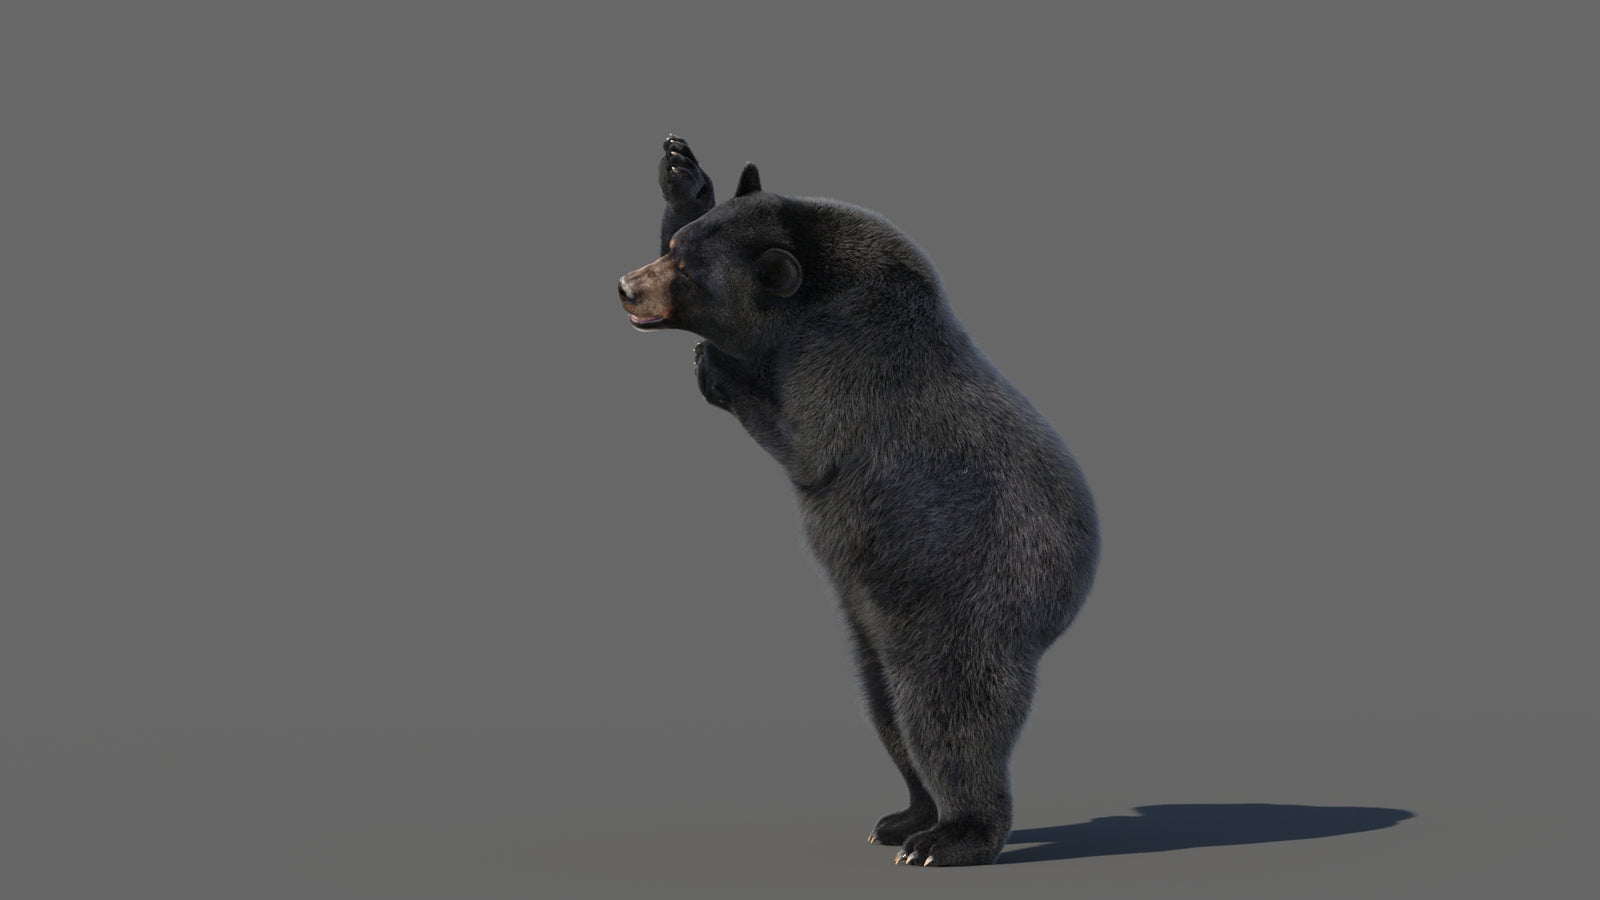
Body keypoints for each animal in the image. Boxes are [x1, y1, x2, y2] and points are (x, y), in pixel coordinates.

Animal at [617, 135, 1100, 867]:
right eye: (675, 250)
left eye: (688, 274)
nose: (625, 287)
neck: (817, 296)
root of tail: (1074, 589)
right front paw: (682, 174)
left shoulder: (848, 364)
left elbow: (806, 444)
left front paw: (716, 366)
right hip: (875, 622)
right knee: (885, 710)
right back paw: (903, 816)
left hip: (970, 600)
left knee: (947, 716)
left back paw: (951, 836)